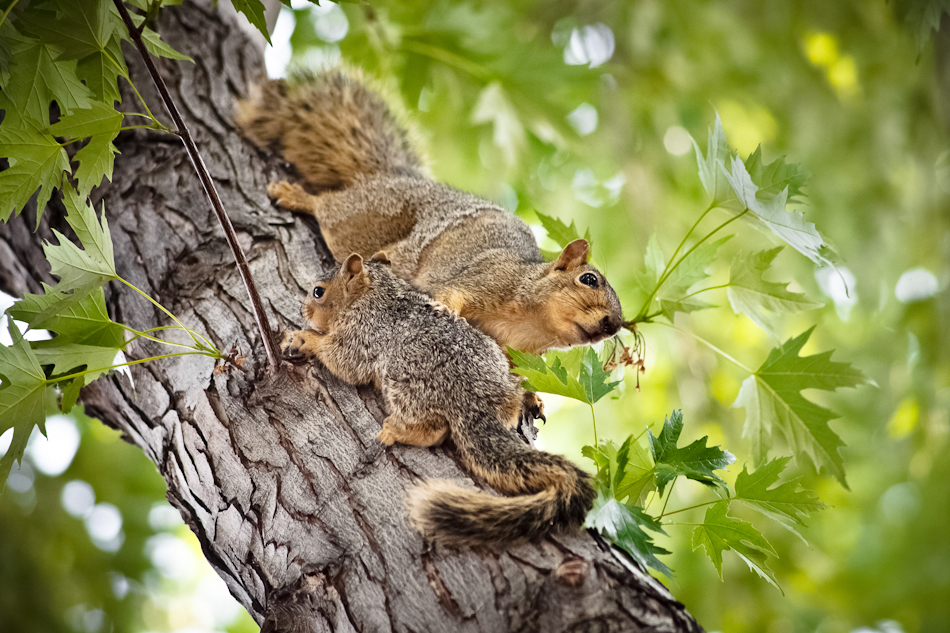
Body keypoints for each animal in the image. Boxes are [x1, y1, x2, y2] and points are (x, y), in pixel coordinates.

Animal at [237, 68, 623, 356]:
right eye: (589, 279)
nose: (613, 325)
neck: (532, 320)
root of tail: (391, 175)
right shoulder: (486, 279)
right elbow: (453, 292)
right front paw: (446, 308)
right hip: (360, 219)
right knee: (329, 208)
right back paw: (296, 195)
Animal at [280, 252, 596, 546]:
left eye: (318, 291)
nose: (301, 309)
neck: (376, 292)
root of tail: (476, 402)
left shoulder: (364, 333)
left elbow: (345, 361)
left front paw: (306, 338)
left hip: (406, 382)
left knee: (433, 429)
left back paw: (396, 430)